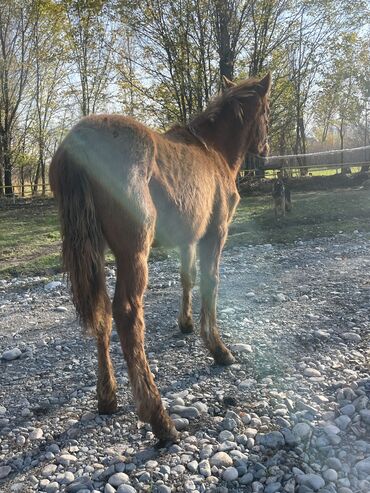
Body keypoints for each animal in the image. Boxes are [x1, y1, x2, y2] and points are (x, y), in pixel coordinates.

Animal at [49, 75, 270, 444]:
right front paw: (218, 349)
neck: (213, 152)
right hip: (134, 253)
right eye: (265, 111)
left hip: (95, 252)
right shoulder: (215, 234)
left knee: (102, 312)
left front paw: (186, 324)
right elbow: (211, 283)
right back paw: (159, 418)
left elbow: (188, 277)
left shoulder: (188, 239)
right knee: (126, 314)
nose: (265, 149)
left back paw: (107, 397)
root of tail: (76, 145)